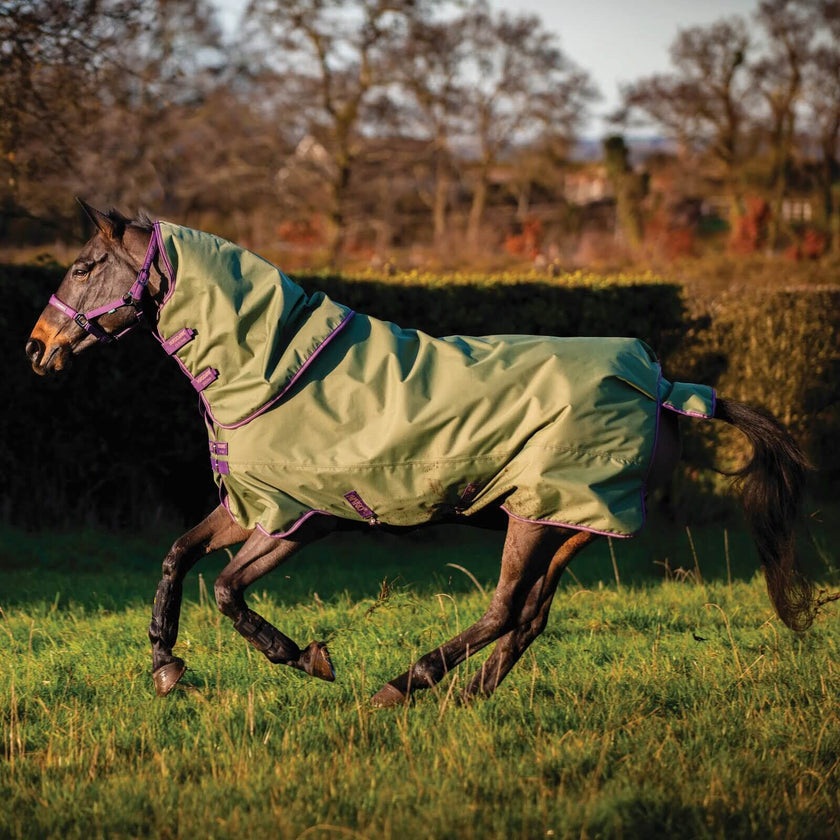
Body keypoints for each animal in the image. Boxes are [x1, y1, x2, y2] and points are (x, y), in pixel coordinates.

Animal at [25, 200, 816, 706]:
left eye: (85, 266)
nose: (37, 347)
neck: (277, 368)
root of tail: (666, 387)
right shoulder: (255, 506)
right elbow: (176, 558)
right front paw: (166, 666)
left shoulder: (298, 519)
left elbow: (223, 589)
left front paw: (307, 659)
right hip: (570, 522)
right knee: (527, 618)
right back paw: (466, 698)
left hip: (542, 515)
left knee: (503, 610)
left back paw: (402, 687)